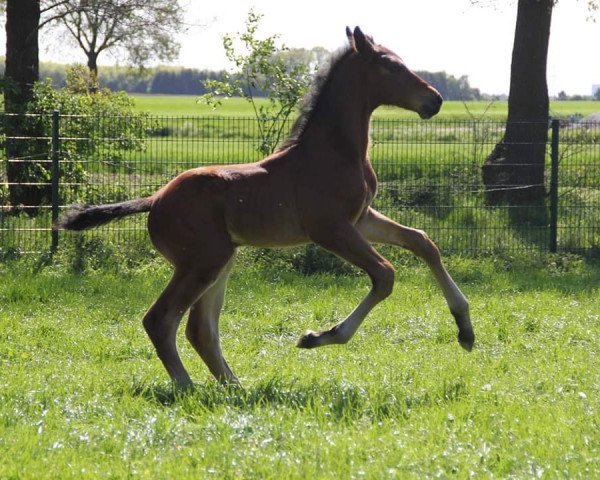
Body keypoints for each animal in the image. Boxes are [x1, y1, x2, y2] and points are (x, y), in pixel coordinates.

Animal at [57, 26, 478, 388]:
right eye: (391, 66)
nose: (434, 99)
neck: (335, 152)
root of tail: (154, 200)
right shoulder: (330, 228)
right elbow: (385, 274)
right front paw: (317, 336)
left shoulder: (361, 219)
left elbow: (423, 242)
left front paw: (465, 329)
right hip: (202, 262)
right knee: (161, 320)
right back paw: (188, 388)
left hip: (220, 259)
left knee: (199, 328)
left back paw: (236, 390)